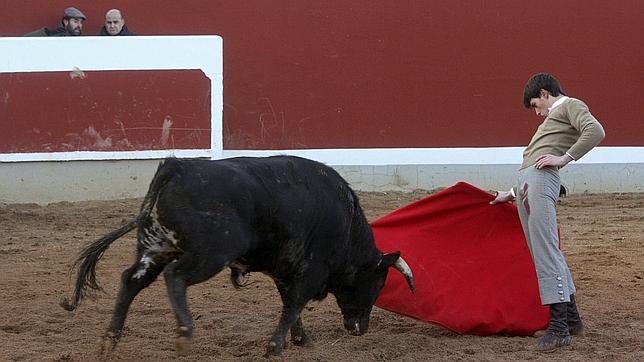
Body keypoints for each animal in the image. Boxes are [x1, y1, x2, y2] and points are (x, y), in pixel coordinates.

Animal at [60, 156, 412, 356]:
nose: (360, 329)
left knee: (131, 281)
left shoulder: (285, 269)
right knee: (175, 276)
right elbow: (294, 304)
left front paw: (301, 340)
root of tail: (176, 167)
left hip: (155, 246)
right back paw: (184, 334)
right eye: (378, 284)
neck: (346, 224)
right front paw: (275, 347)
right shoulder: (309, 271)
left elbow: (291, 305)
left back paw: (109, 342)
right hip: (211, 252)